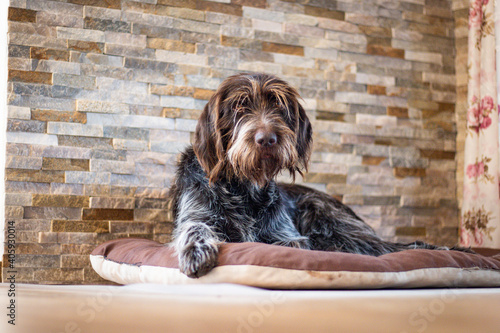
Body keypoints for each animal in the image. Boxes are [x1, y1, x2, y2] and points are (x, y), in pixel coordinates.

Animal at [170, 72, 466, 278]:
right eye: (239, 107)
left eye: (279, 107)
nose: (267, 139)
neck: (245, 188)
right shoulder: (197, 214)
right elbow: (194, 227)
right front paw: (196, 249)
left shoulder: (287, 236)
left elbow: (290, 245)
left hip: (331, 223)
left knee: (390, 248)